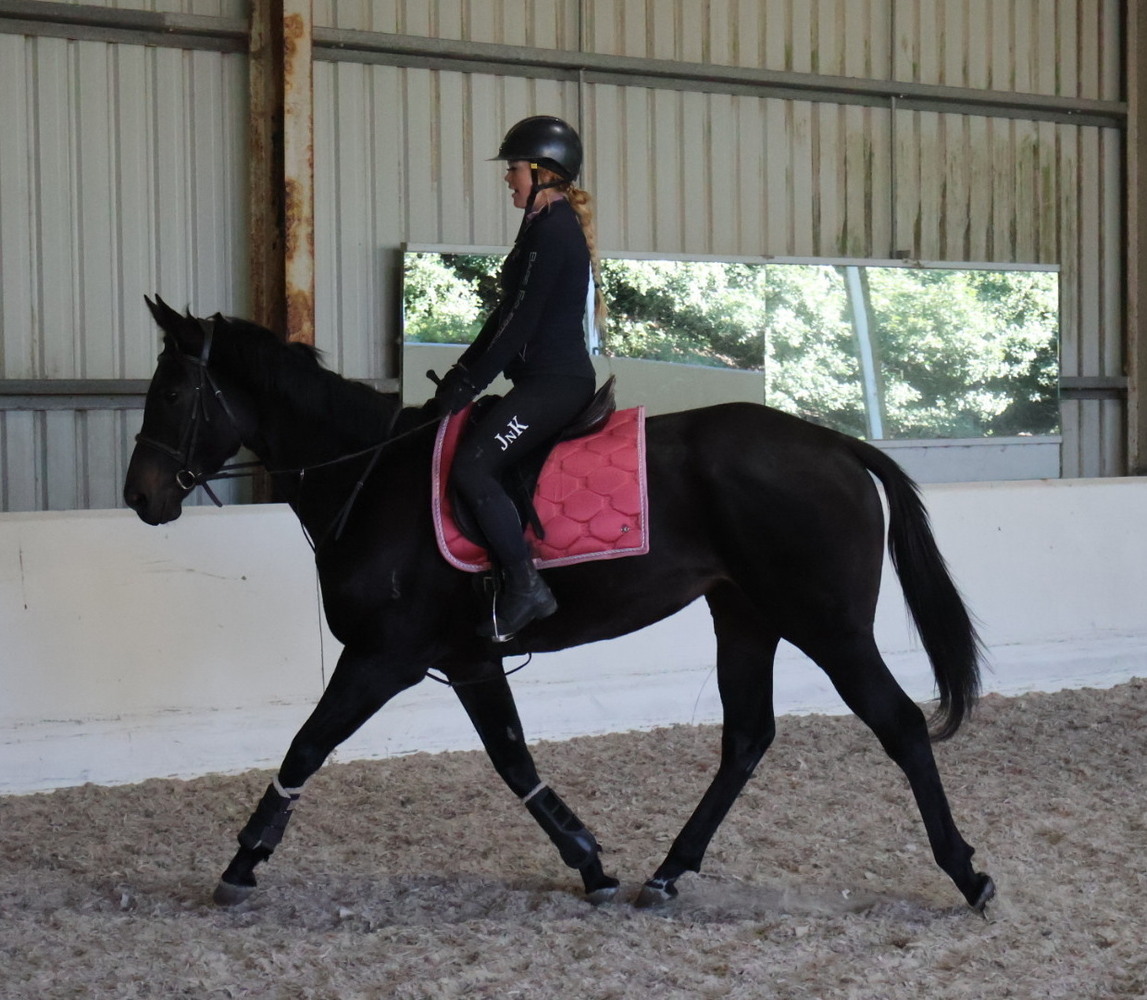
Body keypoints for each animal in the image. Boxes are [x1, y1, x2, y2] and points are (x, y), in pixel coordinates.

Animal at [123, 296, 996, 914]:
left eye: (172, 389)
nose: (140, 497)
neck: (372, 479)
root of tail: (837, 444)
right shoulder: (469, 660)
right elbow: (514, 761)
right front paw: (590, 862)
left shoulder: (383, 656)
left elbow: (304, 749)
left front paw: (242, 863)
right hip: (744, 616)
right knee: (746, 737)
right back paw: (666, 873)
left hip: (826, 623)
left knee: (898, 725)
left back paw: (967, 875)